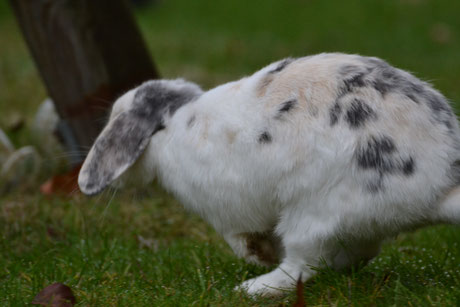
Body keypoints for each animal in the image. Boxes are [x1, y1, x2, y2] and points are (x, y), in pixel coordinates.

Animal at [78, 54, 460, 298]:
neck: (171, 126)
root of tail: (440, 185)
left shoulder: (230, 212)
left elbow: (242, 236)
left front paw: (257, 255)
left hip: (311, 215)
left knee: (301, 267)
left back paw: (252, 288)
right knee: (350, 255)